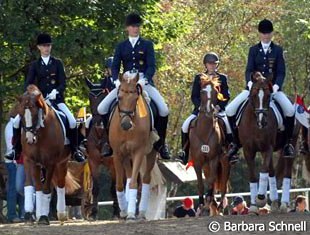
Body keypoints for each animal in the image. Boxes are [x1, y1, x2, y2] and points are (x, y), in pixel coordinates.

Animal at [18, 85, 75, 225]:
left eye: (34, 113)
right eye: (21, 114)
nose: (29, 139)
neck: (40, 132)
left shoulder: (51, 162)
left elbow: (46, 189)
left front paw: (44, 217)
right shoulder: (31, 161)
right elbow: (34, 186)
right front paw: (32, 214)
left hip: (62, 162)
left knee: (60, 184)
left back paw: (61, 213)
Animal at [109, 71, 157, 220]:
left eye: (136, 98)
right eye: (119, 97)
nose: (126, 124)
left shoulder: (139, 152)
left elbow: (134, 183)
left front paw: (130, 213)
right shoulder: (117, 153)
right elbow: (119, 185)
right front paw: (124, 211)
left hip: (151, 152)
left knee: (145, 179)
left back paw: (141, 212)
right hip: (125, 155)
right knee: (130, 176)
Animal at [188, 74, 229, 216]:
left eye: (216, 92)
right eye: (202, 92)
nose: (208, 110)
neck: (204, 130)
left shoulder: (214, 159)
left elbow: (211, 181)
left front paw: (208, 201)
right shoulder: (197, 160)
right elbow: (201, 183)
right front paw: (201, 205)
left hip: (225, 161)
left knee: (223, 182)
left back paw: (219, 205)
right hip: (206, 165)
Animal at [240, 72, 294, 214]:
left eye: (269, 96)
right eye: (253, 95)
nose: (262, 121)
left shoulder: (267, 148)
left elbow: (263, 171)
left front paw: (260, 198)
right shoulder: (248, 150)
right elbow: (253, 176)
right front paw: (254, 206)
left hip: (291, 144)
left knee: (287, 173)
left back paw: (284, 204)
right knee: (272, 172)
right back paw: (274, 203)